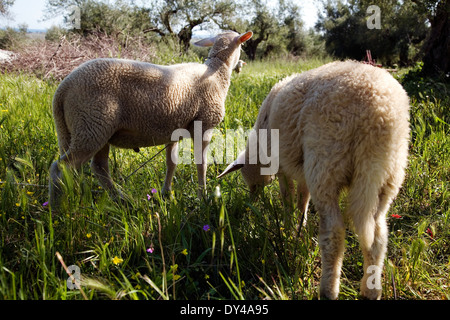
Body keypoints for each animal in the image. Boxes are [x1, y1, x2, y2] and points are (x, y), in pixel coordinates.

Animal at [50, 30, 253, 208]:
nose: (242, 64)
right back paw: (56, 210)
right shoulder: (204, 124)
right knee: (60, 168)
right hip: (91, 125)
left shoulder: (173, 129)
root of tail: (62, 89)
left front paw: (166, 194)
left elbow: (171, 163)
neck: (217, 72)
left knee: (98, 168)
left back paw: (122, 199)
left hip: (90, 129)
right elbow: (201, 163)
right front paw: (202, 196)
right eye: (243, 45)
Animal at [219, 60, 412, 300]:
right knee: (378, 235)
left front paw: (288, 227)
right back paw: (371, 290)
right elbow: (303, 199)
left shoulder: (283, 166)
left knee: (334, 232)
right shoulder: (303, 168)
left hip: (326, 160)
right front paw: (298, 228)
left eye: (250, 181)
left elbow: (288, 198)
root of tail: (378, 114)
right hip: (386, 174)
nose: (252, 200)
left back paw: (328, 289)